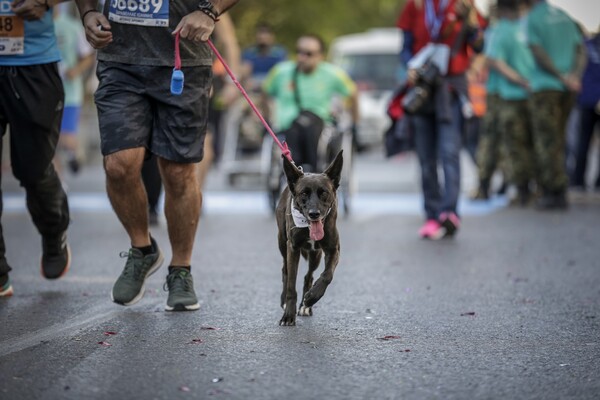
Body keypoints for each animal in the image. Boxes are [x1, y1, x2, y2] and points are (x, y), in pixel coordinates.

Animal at [276, 150, 342, 324]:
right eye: (304, 193)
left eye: (324, 192)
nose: (314, 214)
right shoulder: (293, 248)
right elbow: (291, 284)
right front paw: (288, 315)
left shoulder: (333, 249)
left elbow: (327, 275)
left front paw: (312, 297)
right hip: (282, 245)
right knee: (285, 271)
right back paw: (284, 301)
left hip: (315, 255)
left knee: (309, 276)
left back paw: (305, 306)